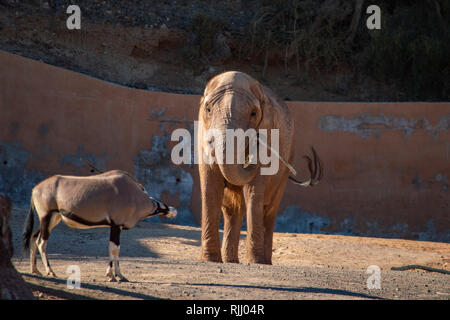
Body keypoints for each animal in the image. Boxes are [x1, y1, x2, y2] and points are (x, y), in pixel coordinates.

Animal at [22, 169, 177, 282]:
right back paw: (50, 271)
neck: (134, 194)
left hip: (52, 220)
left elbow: (116, 250)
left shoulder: (117, 227)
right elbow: (114, 249)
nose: (173, 211)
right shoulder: (115, 225)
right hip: (47, 217)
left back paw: (35, 270)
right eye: (160, 203)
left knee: (34, 237)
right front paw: (112, 275)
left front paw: (119, 275)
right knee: (42, 242)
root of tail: (35, 189)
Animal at [199, 71, 322, 264]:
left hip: (288, 158)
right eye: (208, 109)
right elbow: (210, 188)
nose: (256, 142)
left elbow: (253, 191)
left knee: (269, 209)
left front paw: (254, 261)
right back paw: (231, 261)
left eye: (253, 113)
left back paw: (264, 261)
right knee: (232, 209)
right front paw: (209, 260)